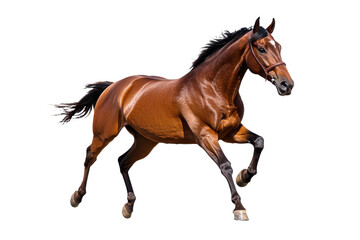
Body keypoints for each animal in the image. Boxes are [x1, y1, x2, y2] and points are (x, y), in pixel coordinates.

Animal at [56, 17, 292, 221]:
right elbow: (225, 165)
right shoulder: (205, 136)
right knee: (90, 156)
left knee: (123, 161)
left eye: (279, 47)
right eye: (261, 48)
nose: (287, 85)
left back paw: (129, 206)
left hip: (145, 141)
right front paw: (239, 207)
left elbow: (259, 141)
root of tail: (115, 86)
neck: (212, 88)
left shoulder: (230, 133)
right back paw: (77, 196)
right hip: (104, 134)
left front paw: (245, 177)